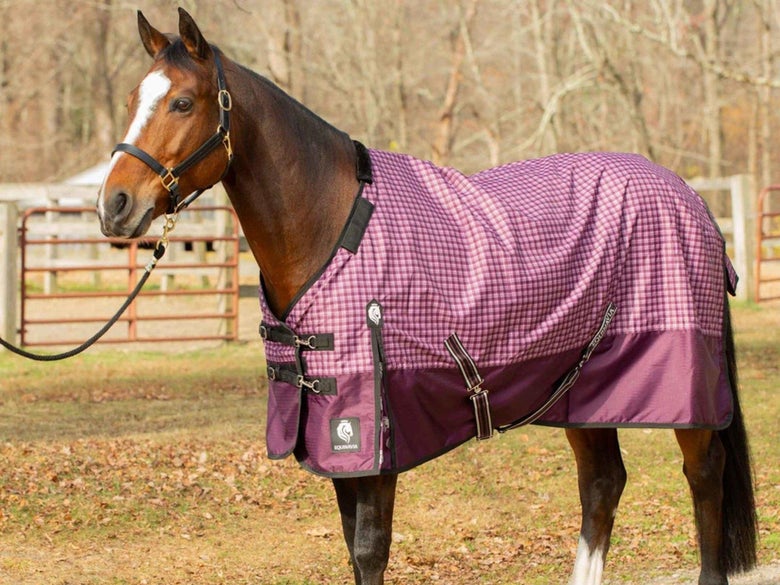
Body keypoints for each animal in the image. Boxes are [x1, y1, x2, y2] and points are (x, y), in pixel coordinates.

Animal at [97, 9, 757, 585]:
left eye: (183, 102)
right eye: (131, 101)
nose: (114, 206)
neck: (332, 227)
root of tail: (693, 200)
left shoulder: (376, 438)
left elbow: (369, 551)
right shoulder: (337, 444)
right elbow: (351, 545)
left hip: (686, 394)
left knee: (703, 476)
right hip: (581, 392)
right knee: (601, 486)